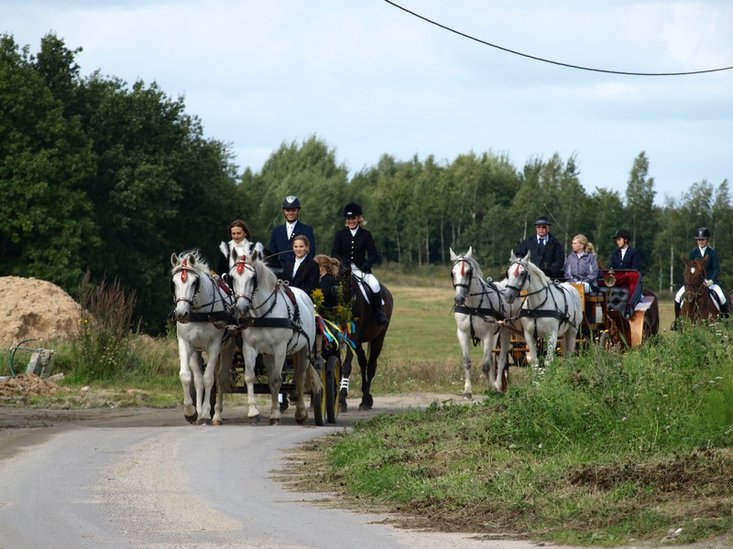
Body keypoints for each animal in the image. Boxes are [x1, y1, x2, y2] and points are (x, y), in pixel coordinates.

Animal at [170, 250, 233, 426]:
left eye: (194, 282)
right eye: (174, 282)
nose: (181, 314)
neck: (200, 313)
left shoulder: (214, 345)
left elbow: (208, 379)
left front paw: (205, 413)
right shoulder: (187, 344)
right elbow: (189, 377)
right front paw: (192, 412)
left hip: (226, 348)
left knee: (220, 378)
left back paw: (215, 414)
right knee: (200, 379)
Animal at [229, 247, 320, 424]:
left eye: (252, 278)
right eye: (232, 277)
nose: (241, 308)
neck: (263, 315)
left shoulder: (280, 349)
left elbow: (278, 380)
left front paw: (276, 414)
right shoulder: (249, 347)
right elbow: (250, 377)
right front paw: (253, 412)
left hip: (304, 350)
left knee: (299, 377)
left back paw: (300, 412)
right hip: (268, 354)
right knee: (274, 378)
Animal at [338, 270, 392, 412]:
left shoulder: (352, 336)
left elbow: (346, 366)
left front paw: (341, 400)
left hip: (378, 338)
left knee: (371, 366)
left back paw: (365, 401)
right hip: (359, 342)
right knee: (363, 362)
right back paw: (366, 396)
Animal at [448, 245, 516, 394]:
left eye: (468, 272)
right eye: (452, 273)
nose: (459, 299)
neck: (473, 307)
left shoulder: (488, 335)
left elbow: (485, 365)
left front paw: (492, 387)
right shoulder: (462, 334)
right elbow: (467, 362)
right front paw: (468, 390)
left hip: (504, 332)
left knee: (501, 359)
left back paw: (498, 385)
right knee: (491, 358)